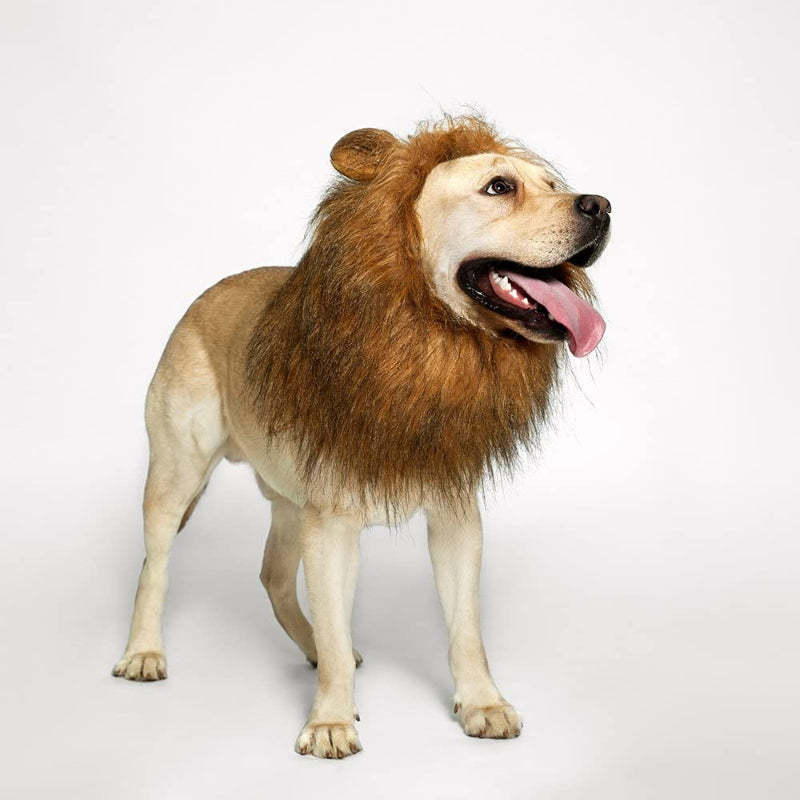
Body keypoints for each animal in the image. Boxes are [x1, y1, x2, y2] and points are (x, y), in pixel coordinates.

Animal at [112, 116, 611, 759]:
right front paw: (330, 720)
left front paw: (482, 704)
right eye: (500, 187)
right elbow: (333, 619)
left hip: (289, 503)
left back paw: (315, 648)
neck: (424, 343)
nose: (600, 205)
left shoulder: (455, 517)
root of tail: (207, 293)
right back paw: (143, 652)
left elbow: (465, 627)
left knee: (273, 577)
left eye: (553, 183)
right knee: (155, 565)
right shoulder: (331, 527)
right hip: (177, 476)